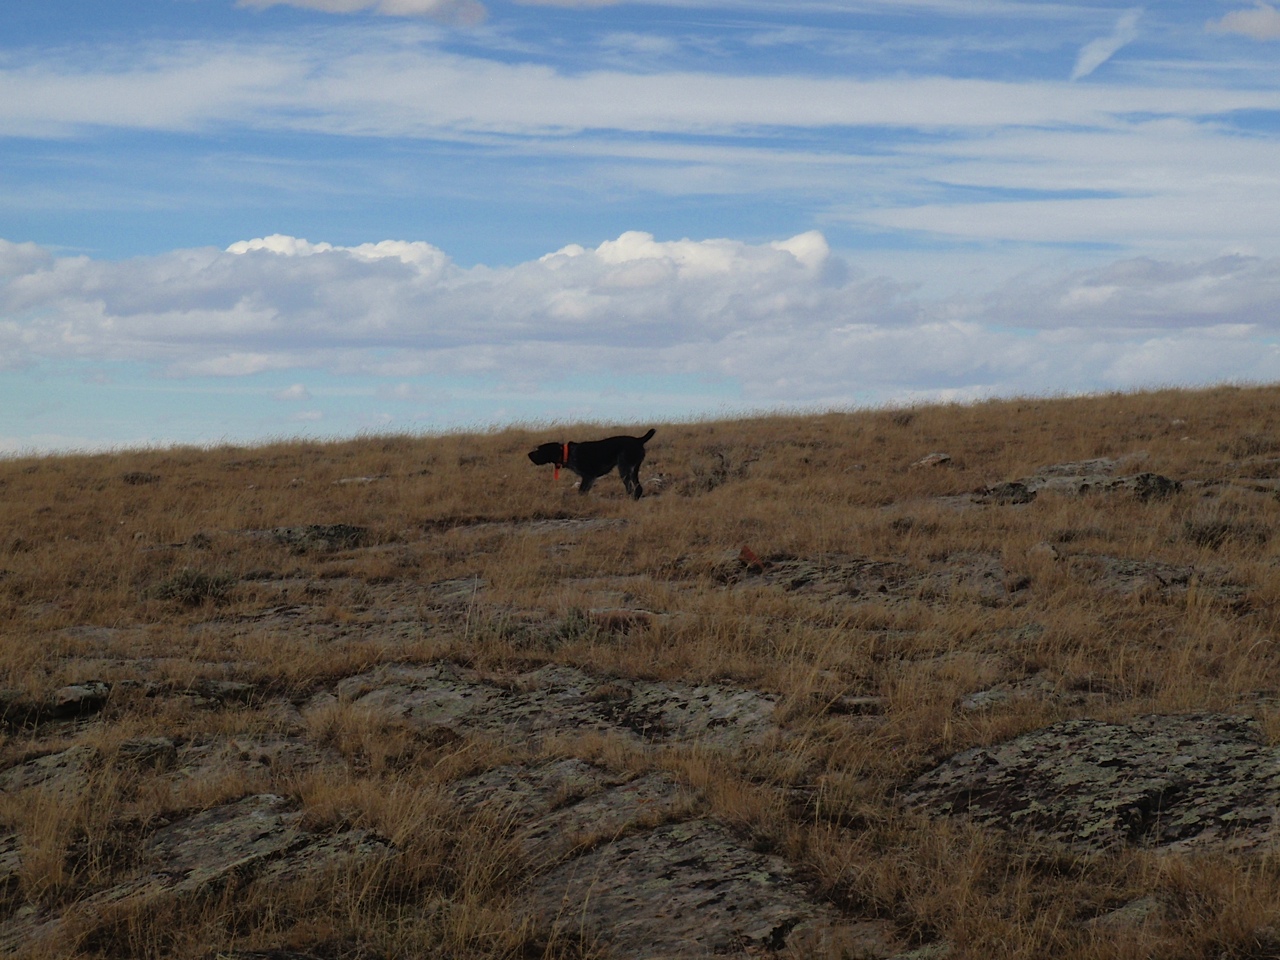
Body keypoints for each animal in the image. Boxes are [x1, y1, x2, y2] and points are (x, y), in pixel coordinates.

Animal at [524, 430, 655, 504]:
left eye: (539, 450)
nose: (529, 454)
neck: (568, 453)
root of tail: (639, 440)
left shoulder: (588, 476)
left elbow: (581, 491)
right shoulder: (589, 478)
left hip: (624, 468)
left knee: (630, 488)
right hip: (633, 469)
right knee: (638, 488)